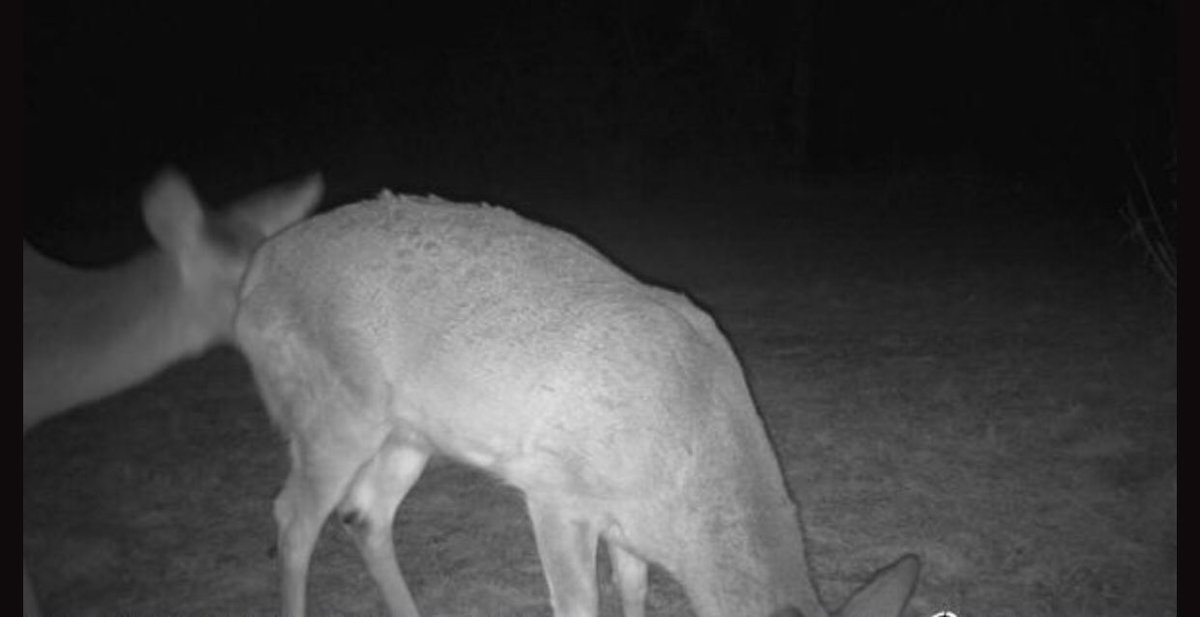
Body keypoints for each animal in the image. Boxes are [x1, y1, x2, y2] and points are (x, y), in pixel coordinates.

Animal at [235, 192, 920, 617]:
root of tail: (254, 275)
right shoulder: (555, 492)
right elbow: (578, 605)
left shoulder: (628, 525)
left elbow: (635, 593)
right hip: (334, 413)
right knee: (293, 517)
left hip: (411, 435)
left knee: (364, 513)